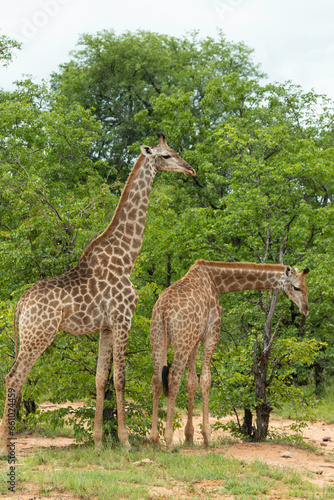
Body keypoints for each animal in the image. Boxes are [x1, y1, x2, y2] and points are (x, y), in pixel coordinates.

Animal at [0, 135, 196, 456]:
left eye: (176, 152)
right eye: (167, 155)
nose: (190, 169)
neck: (127, 257)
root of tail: (20, 303)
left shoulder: (105, 327)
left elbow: (101, 378)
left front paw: (99, 441)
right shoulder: (122, 318)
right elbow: (121, 378)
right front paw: (126, 442)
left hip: (29, 335)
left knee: (16, 376)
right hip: (39, 334)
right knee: (14, 376)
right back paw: (7, 448)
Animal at [150, 260, 310, 452]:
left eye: (306, 286)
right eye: (296, 287)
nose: (306, 309)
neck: (217, 282)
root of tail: (164, 310)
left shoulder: (197, 337)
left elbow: (192, 382)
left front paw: (189, 436)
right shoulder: (212, 330)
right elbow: (205, 379)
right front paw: (207, 437)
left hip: (159, 337)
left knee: (157, 379)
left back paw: (154, 440)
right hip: (181, 339)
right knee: (173, 378)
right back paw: (169, 442)